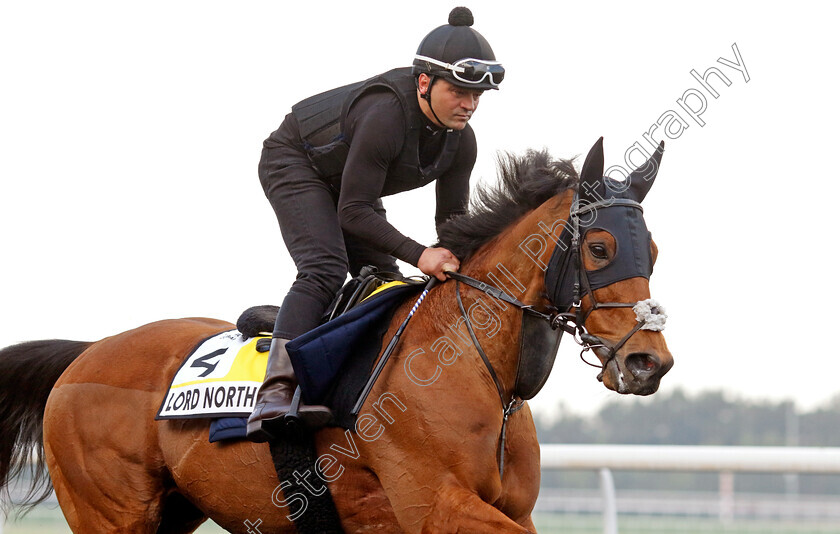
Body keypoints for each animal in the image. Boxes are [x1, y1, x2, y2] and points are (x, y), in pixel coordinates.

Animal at [0, 140, 668, 532]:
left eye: (655, 251)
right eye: (600, 247)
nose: (649, 362)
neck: (472, 362)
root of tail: (85, 354)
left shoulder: (511, 510)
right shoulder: (436, 505)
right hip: (110, 512)